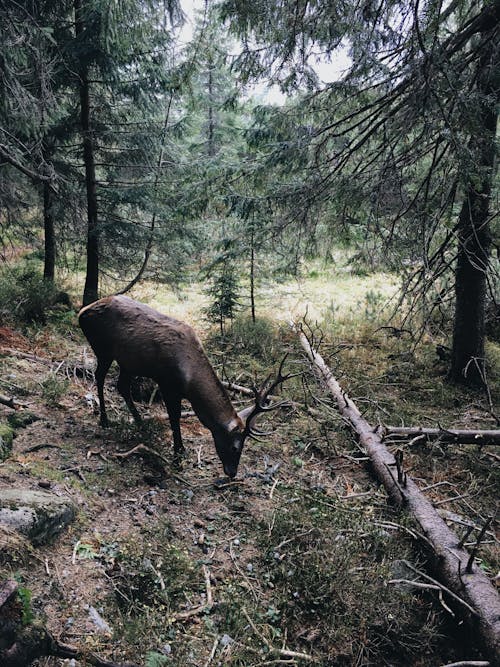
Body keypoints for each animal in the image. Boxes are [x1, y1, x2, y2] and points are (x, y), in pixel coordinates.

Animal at [78, 294, 290, 478]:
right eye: (235, 447)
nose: (232, 472)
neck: (190, 380)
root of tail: (82, 312)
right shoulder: (167, 383)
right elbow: (174, 418)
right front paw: (178, 456)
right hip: (103, 349)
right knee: (99, 377)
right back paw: (104, 420)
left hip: (127, 361)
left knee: (121, 386)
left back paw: (140, 423)